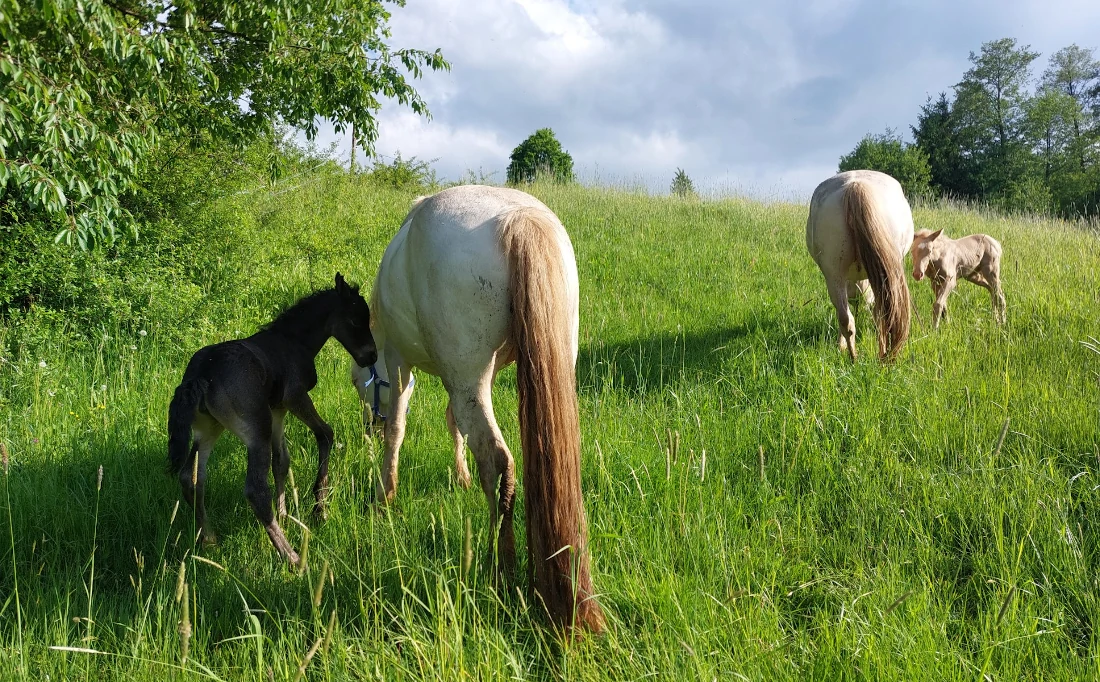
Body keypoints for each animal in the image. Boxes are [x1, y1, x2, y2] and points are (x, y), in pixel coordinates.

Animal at [165, 273, 376, 567]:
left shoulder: (278, 410)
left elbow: (282, 462)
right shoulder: (294, 397)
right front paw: (319, 508)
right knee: (255, 490)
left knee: (191, 477)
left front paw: (286, 514)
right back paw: (293, 558)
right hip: (256, 430)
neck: (293, 341)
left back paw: (209, 540)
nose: (372, 356)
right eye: (356, 320)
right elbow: (325, 434)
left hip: (209, 428)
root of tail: (200, 375)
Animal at [356, 183, 607, 629]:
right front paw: (461, 478)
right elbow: (453, 421)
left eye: (358, 383)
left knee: (498, 461)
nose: (366, 428)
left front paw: (386, 494)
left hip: (466, 375)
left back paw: (500, 568)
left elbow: (398, 427)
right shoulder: (472, 379)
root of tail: (518, 218)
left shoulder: (401, 362)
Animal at [805, 170, 915, 363]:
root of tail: (855, 186)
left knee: (845, 319)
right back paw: (877, 354)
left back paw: (853, 357)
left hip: (834, 274)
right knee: (879, 316)